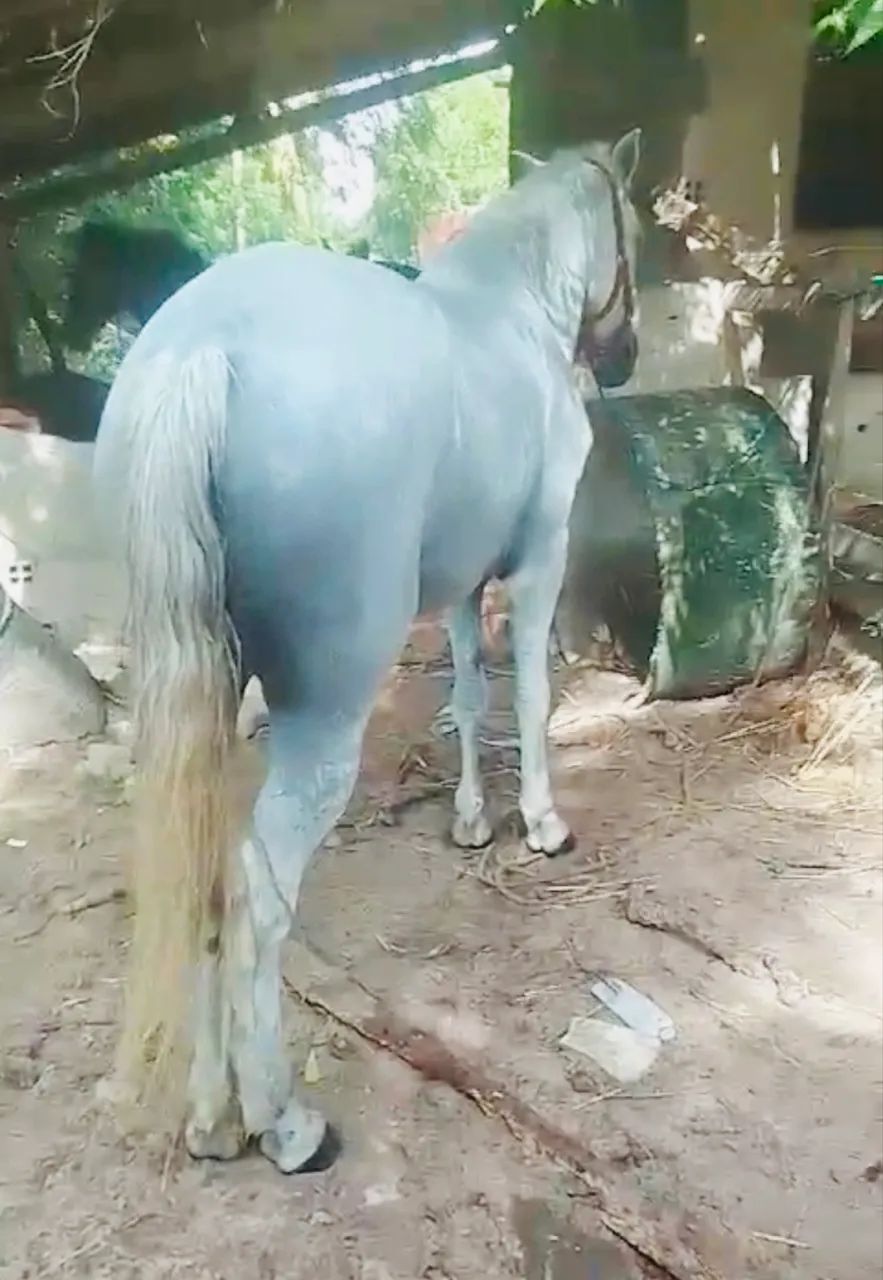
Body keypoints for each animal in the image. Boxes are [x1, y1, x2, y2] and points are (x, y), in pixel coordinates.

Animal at [93, 129, 641, 1173]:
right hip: (322, 715)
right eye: (631, 229)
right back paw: (284, 1125)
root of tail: (198, 351)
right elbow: (532, 696)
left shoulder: (462, 583)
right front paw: (542, 825)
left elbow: (468, 694)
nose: (625, 354)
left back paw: (212, 1120)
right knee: (258, 898)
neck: (512, 314)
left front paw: (471, 822)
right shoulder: (537, 562)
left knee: (206, 878)